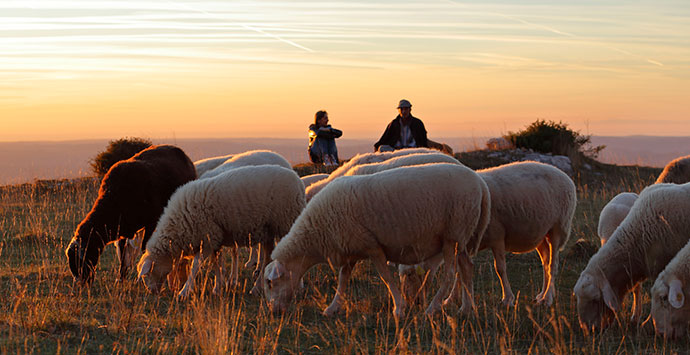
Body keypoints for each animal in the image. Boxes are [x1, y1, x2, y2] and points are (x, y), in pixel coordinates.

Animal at [137, 165, 304, 298]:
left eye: (146, 275)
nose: (151, 293)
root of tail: (297, 179)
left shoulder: (207, 239)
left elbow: (195, 266)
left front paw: (184, 292)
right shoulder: (215, 239)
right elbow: (217, 264)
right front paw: (218, 288)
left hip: (287, 221)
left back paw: (298, 287)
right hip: (268, 231)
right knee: (268, 258)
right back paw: (257, 289)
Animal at [262, 163, 490, 318]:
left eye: (270, 283)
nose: (273, 312)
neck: (317, 232)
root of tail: (480, 184)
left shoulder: (372, 246)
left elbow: (385, 277)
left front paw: (399, 308)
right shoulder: (350, 248)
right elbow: (343, 280)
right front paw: (333, 307)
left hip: (453, 234)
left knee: (451, 274)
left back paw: (432, 308)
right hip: (461, 237)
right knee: (466, 268)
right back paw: (467, 309)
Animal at [398, 162, 576, 308]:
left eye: (410, 274)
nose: (412, 302)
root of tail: (564, 175)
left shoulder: (497, 236)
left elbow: (500, 268)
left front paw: (508, 299)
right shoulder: (462, 243)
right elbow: (459, 272)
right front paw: (451, 299)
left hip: (558, 227)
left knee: (553, 265)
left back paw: (547, 298)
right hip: (540, 234)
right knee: (546, 261)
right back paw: (541, 295)